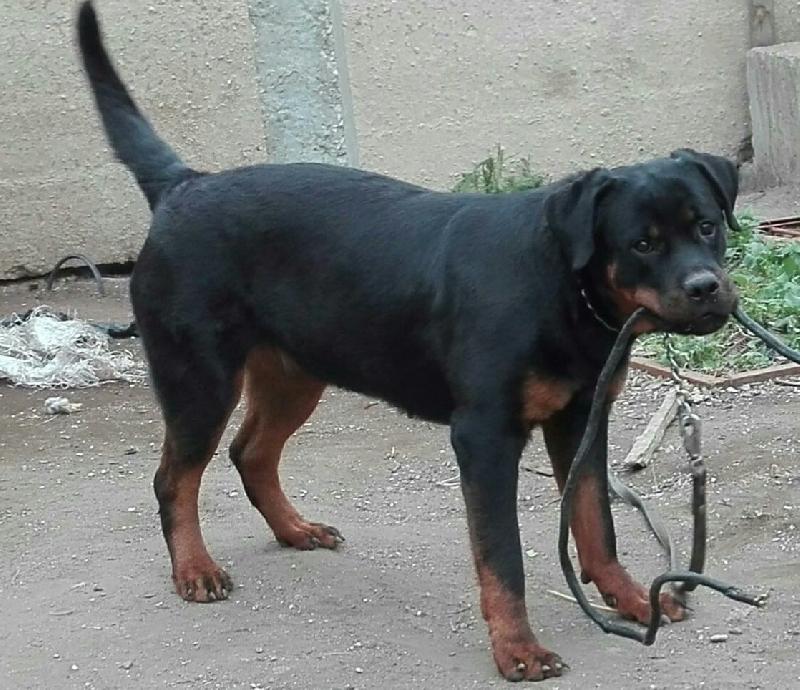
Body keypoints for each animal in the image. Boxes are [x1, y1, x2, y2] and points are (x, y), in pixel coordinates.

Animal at [77, 2, 739, 681]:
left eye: (706, 226)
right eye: (642, 244)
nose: (706, 287)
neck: (562, 287)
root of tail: (183, 185)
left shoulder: (582, 418)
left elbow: (594, 520)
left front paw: (631, 598)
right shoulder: (485, 435)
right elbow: (503, 557)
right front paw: (518, 649)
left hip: (295, 371)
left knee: (250, 452)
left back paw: (294, 529)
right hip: (199, 379)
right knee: (174, 478)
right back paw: (195, 569)